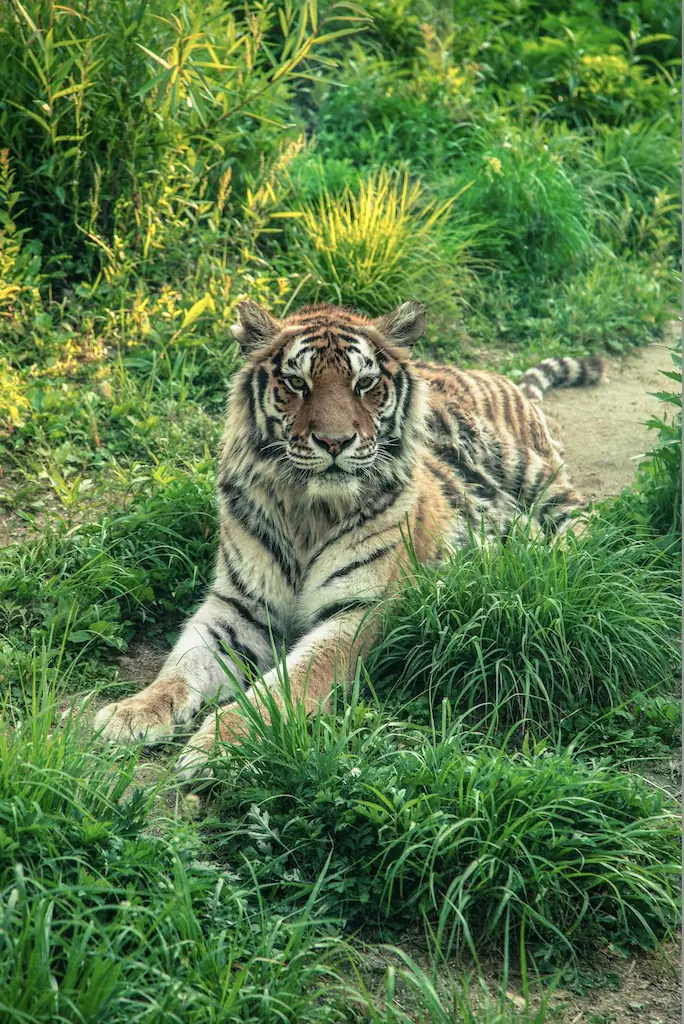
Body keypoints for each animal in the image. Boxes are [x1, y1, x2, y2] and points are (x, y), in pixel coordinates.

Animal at [93, 300, 604, 779]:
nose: (335, 442)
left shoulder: (359, 613)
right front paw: (132, 713)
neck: (306, 513)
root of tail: (490, 374)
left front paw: (223, 744)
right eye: (296, 383)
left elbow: (289, 684)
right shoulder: (238, 607)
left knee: (585, 522)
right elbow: (181, 665)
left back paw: (546, 562)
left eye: (364, 383)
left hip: (530, 472)